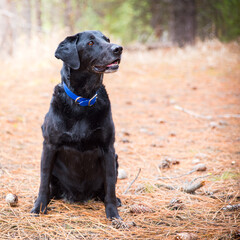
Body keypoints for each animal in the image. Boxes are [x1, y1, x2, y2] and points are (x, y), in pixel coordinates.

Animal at [31, 30, 123, 219]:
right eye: (90, 43)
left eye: (107, 40)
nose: (119, 48)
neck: (83, 101)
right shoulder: (49, 146)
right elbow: (43, 180)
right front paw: (39, 207)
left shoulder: (108, 148)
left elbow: (110, 185)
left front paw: (113, 214)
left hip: (116, 159)